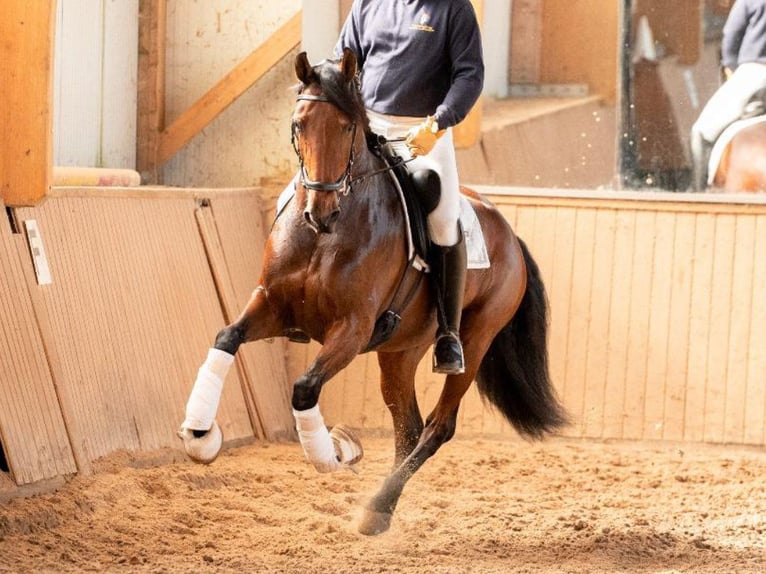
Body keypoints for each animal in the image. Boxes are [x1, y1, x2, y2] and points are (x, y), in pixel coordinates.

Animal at [180, 48, 568, 536]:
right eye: (298, 124)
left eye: (348, 127)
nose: (320, 211)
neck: (326, 236)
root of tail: (509, 234)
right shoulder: (271, 304)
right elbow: (226, 338)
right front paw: (199, 434)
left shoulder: (352, 329)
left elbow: (304, 387)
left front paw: (336, 451)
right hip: (400, 351)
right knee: (409, 426)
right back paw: (382, 511)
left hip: (476, 340)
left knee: (438, 426)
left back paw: (377, 506)